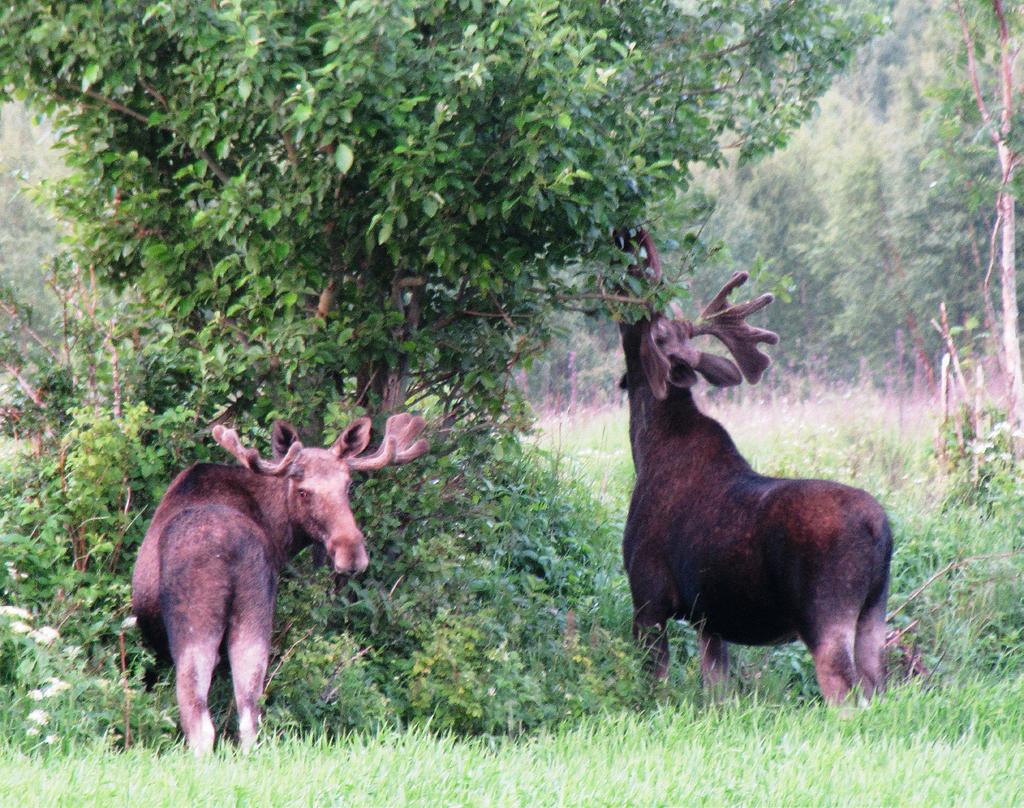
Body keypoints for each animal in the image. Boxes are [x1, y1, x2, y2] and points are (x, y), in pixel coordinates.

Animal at [131, 413, 428, 753]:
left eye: (348, 485)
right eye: (303, 491)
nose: (351, 553)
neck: (279, 529)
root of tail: (232, 547)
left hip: (195, 624)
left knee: (201, 721)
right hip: (255, 613)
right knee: (249, 713)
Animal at [614, 225, 888, 700]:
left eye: (651, 322)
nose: (631, 244)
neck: (645, 449)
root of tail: (880, 530)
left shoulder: (648, 597)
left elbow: (655, 688)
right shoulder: (710, 618)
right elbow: (717, 691)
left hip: (826, 613)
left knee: (846, 693)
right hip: (874, 614)